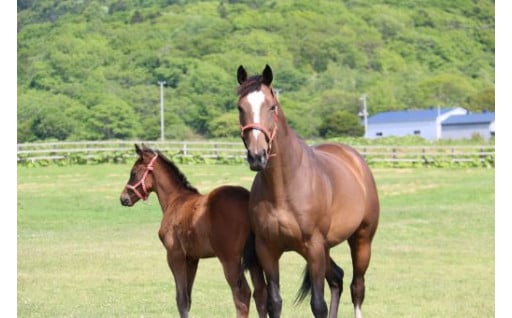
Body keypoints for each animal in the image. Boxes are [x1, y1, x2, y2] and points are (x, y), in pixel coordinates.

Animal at [120, 144, 268, 318]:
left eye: (134, 173)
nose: (123, 198)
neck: (175, 200)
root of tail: (248, 201)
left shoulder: (174, 255)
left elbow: (181, 299)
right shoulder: (192, 258)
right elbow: (188, 298)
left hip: (230, 259)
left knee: (243, 295)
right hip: (255, 258)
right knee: (260, 293)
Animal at [236, 65, 380, 318]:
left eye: (271, 107)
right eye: (240, 107)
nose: (257, 156)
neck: (283, 189)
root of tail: (355, 160)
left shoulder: (313, 248)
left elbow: (318, 304)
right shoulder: (267, 250)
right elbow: (274, 302)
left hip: (361, 240)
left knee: (357, 288)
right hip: (327, 249)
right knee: (338, 278)